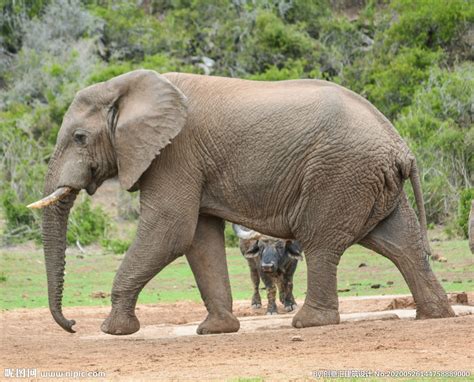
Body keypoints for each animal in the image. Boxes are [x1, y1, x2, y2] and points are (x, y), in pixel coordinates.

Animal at [28, 70, 456, 336]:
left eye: (80, 138)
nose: (72, 325)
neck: (130, 86)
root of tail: (401, 148)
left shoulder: (175, 154)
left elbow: (170, 230)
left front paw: (113, 330)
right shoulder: (189, 162)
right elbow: (199, 238)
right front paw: (215, 330)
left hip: (339, 173)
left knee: (321, 243)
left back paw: (309, 323)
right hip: (368, 179)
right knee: (400, 242)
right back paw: (435, 315)